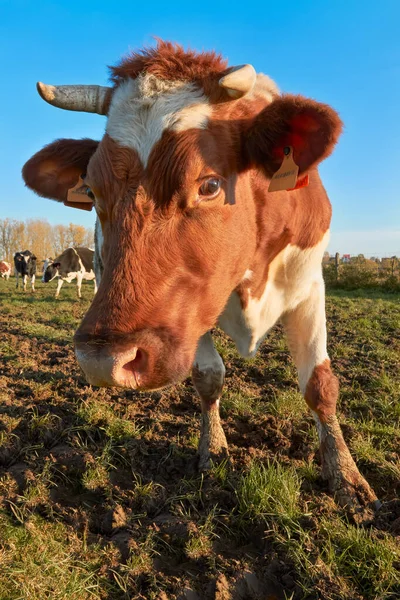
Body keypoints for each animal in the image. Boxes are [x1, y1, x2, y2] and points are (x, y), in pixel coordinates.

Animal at [21, 39, 378, 516]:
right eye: (92, 191)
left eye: (209, 185)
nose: (102, 360)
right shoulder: (189, 309)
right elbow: (209, 376)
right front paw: (214, 447)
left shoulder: (309, 285)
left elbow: (320, 384)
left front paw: (346, 477)